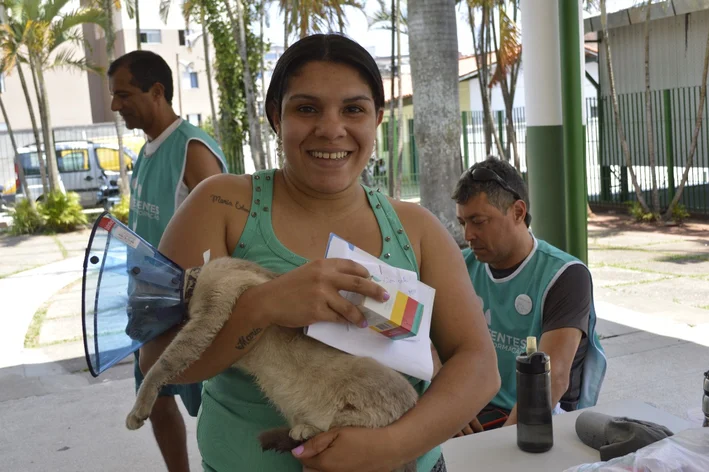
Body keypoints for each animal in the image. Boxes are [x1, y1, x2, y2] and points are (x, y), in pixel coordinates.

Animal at [125, 258, 418, 472]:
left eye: (132, 310)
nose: (128, 332)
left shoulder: (208, 316)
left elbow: (162, 363)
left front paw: (137, 413)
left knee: (345, 425)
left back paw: (305, 431)